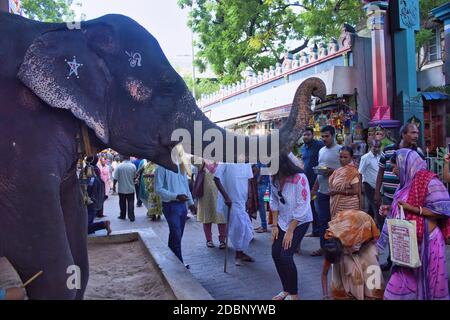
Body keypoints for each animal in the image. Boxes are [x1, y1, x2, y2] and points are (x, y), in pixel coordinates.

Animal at [0, 11, 326, 298]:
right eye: (167, 90)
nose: (319, 89)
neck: (66, 30)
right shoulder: (22, 143)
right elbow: (51, 262)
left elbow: (79, 253)